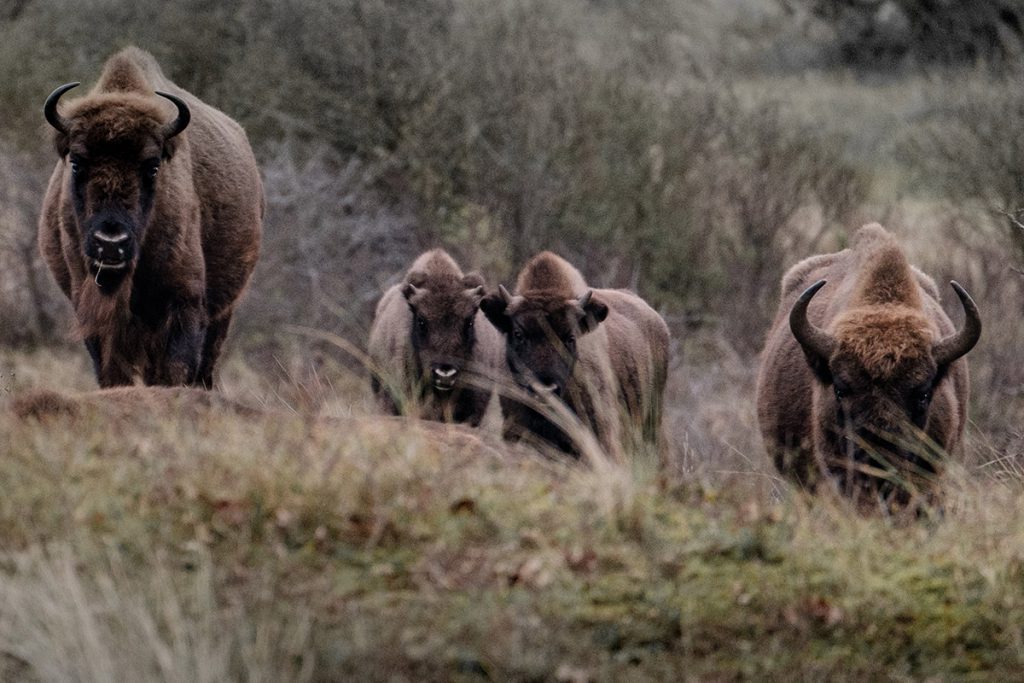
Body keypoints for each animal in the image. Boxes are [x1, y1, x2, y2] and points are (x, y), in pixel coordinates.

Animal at [38, 46, 264, 389]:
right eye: (76, 162)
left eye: (153, 166)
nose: (110, 242)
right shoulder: (90, 307)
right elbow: (113, 371)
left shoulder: (183, 301)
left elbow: (177, 367)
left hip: (223, 311)